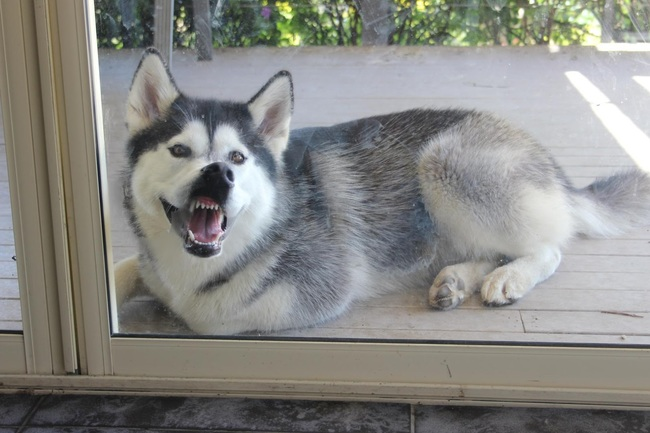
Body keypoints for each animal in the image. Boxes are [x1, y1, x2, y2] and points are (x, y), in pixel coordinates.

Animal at [115, 49, 648, 336]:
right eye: (179, 150)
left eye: (238, 158)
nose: (216, 176)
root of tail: (546, 157)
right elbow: (129, 267)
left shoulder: (322, 286)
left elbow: (206, 314)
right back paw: (457, 279)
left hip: (444, 164)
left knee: (551, 247)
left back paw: (509, 277)